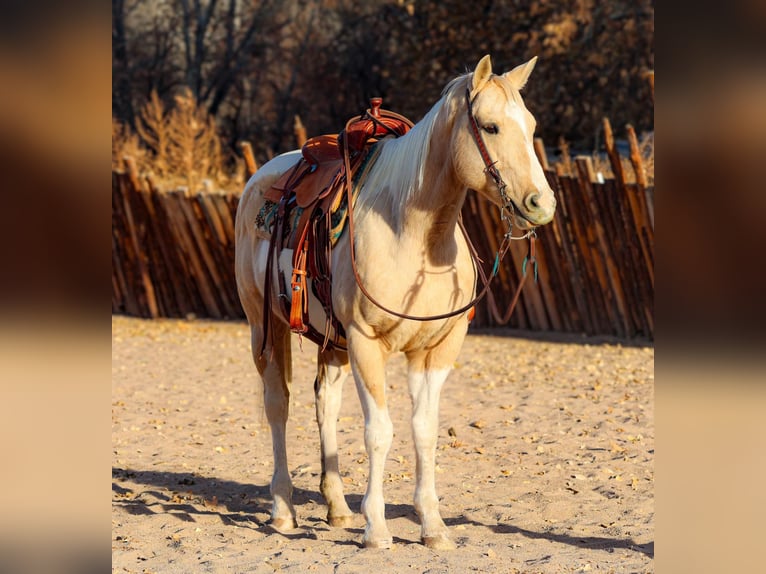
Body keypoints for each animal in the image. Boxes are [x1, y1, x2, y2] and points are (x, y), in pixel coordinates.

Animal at [234, 55, 556, 550]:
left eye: (532, 125)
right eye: (491, 126)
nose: (541, 204)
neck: (414, 235)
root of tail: (261, 177)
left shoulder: (436, 349)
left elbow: (423, 431)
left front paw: (433, 526)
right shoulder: (367, 343)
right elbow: (379, 433)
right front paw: (377, 528)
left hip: (332, 341)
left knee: (325, 402)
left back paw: (337, 507)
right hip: (264, 326)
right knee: (278, 405)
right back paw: (284, 509)